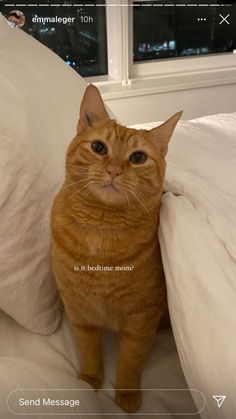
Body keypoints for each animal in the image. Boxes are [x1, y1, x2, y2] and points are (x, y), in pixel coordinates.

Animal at [50, 85, 182, 414]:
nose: (112, 171)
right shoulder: (80, 313)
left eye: (138, 157)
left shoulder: (141, 319)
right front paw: (89, 380)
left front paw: (126, 393)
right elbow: (89, 351)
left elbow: (130, 361)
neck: (102, 229)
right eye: (99, 148)